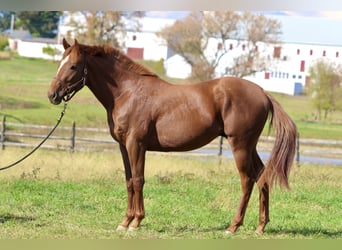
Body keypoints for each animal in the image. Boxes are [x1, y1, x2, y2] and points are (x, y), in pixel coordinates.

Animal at [47, 38, 296, 233]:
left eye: (73, 66)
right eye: (59, 63)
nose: (52, 95)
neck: (128, 92)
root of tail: (262, 92)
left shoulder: (136, 144)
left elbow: (138, 180)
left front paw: (136, 222)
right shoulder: (123, 146)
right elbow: (129, 181)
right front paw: (125, 221)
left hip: (240, 145)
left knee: (247, 180)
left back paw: (233, 226)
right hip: (250, 146)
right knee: (262, 176)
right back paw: (260, 226)